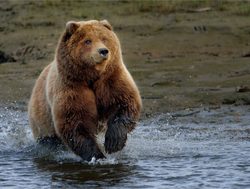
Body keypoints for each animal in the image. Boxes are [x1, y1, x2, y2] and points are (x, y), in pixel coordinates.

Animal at [28, 19, 142, 161]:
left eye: (104, 38)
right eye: (88, 41)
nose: (103, 51)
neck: (91, 76)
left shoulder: (111, 78)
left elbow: (124, 103)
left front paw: (113, 142)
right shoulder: (72, 86)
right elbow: (76, 122)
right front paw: (97, 155)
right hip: (42, 120)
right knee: (50, 140)